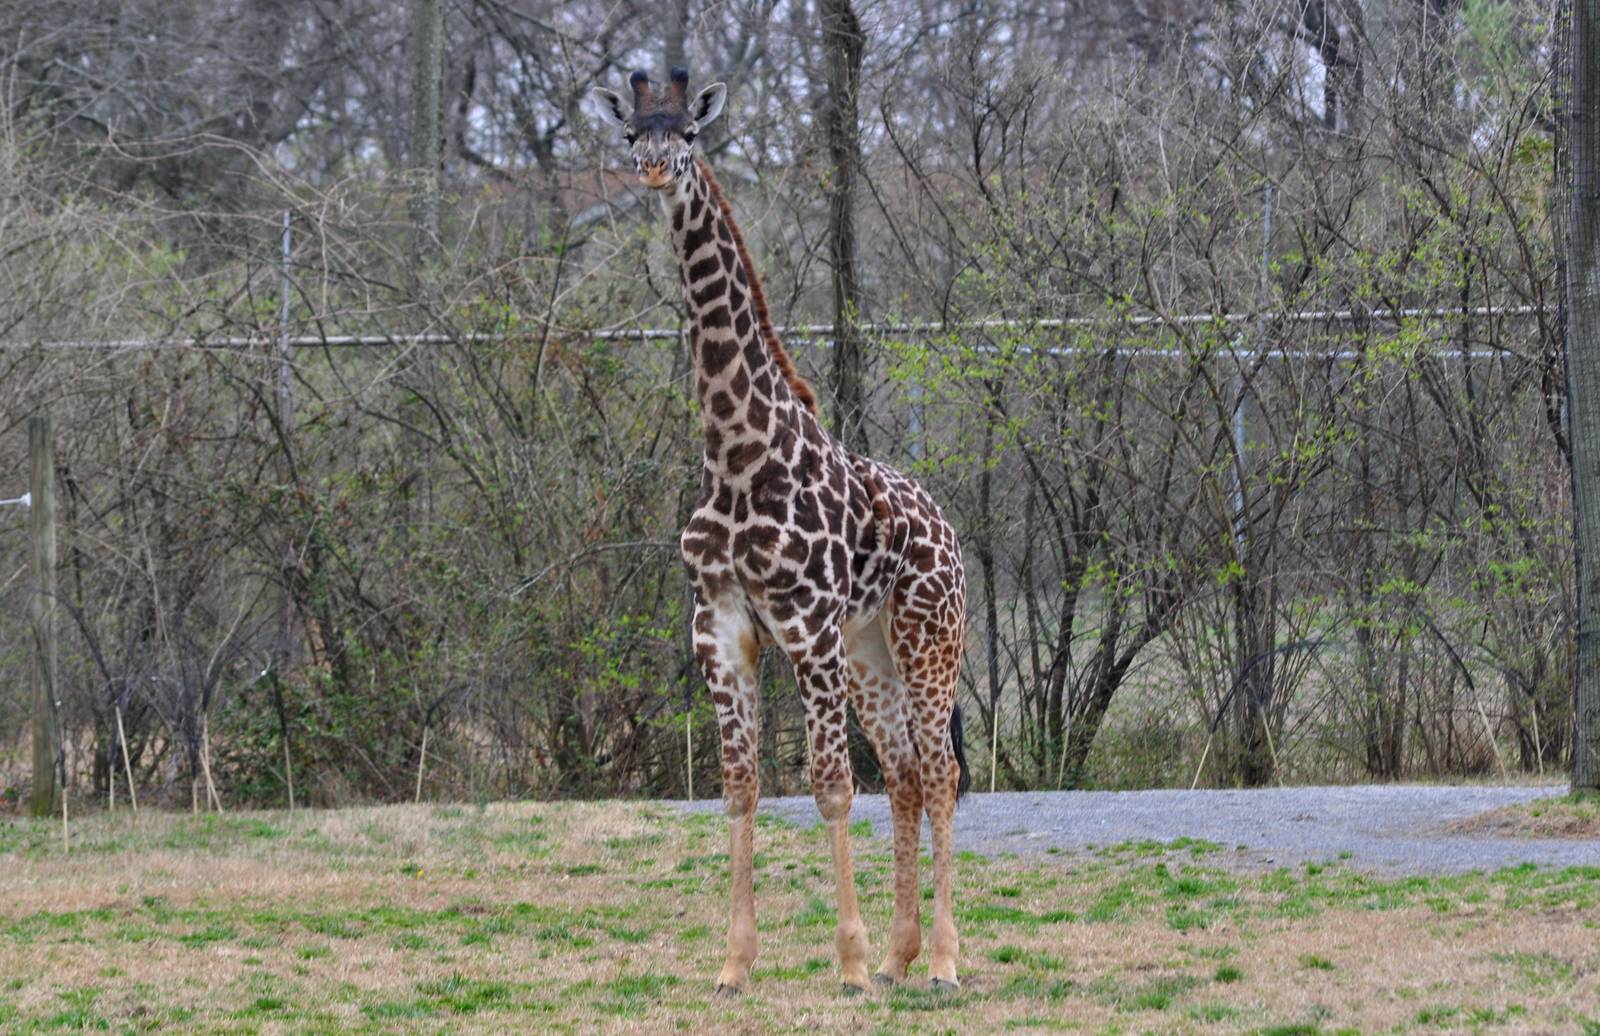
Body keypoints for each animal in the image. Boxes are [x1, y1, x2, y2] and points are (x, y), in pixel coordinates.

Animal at [594, 67, 970, 995]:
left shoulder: (804, 627)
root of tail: (950, 530)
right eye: (632, 136)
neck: (734, 450)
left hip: (926, 638)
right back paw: (906, 956)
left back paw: (943, 960)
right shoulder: (721, 628)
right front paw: (735, 963)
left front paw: (849, 961)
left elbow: (831, 787)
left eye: (690, 133)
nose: (653, 169)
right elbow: (740, 789)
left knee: (939, 771)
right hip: (870, 653)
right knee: (906, 774)